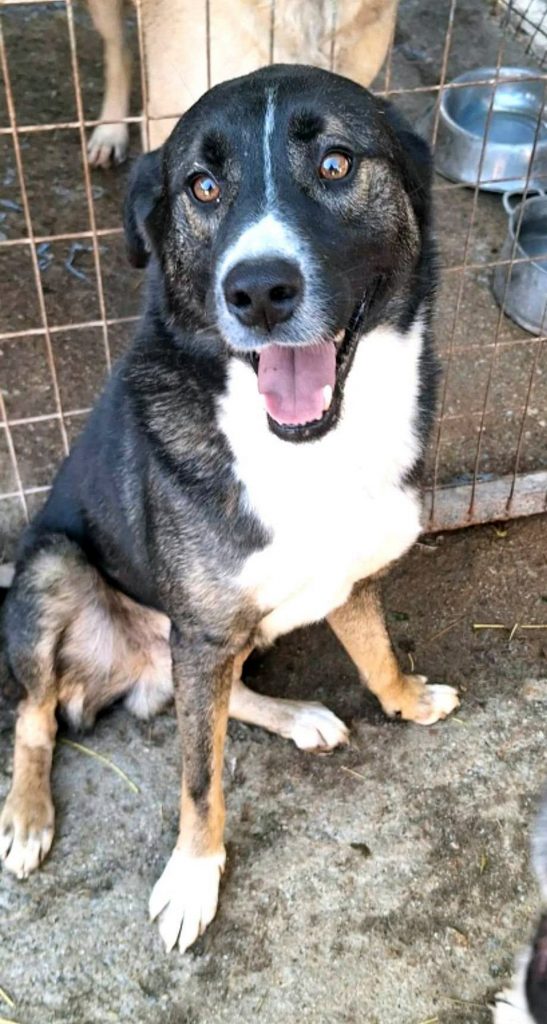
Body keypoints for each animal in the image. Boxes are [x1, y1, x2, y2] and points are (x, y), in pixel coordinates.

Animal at [0, 64, 459, 953]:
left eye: (336, 164)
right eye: (203, 187)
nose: (258, 292)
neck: (308, 448)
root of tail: (136, 672)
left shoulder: (343, 582)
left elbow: (376, 653)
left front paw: (407, 700)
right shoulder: (204, 629)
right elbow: (199, 777)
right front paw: (192, 878)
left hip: (196, 640)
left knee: (205, 700)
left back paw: (296, 715)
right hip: (54, 568)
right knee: (39, 719)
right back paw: (28, 817)